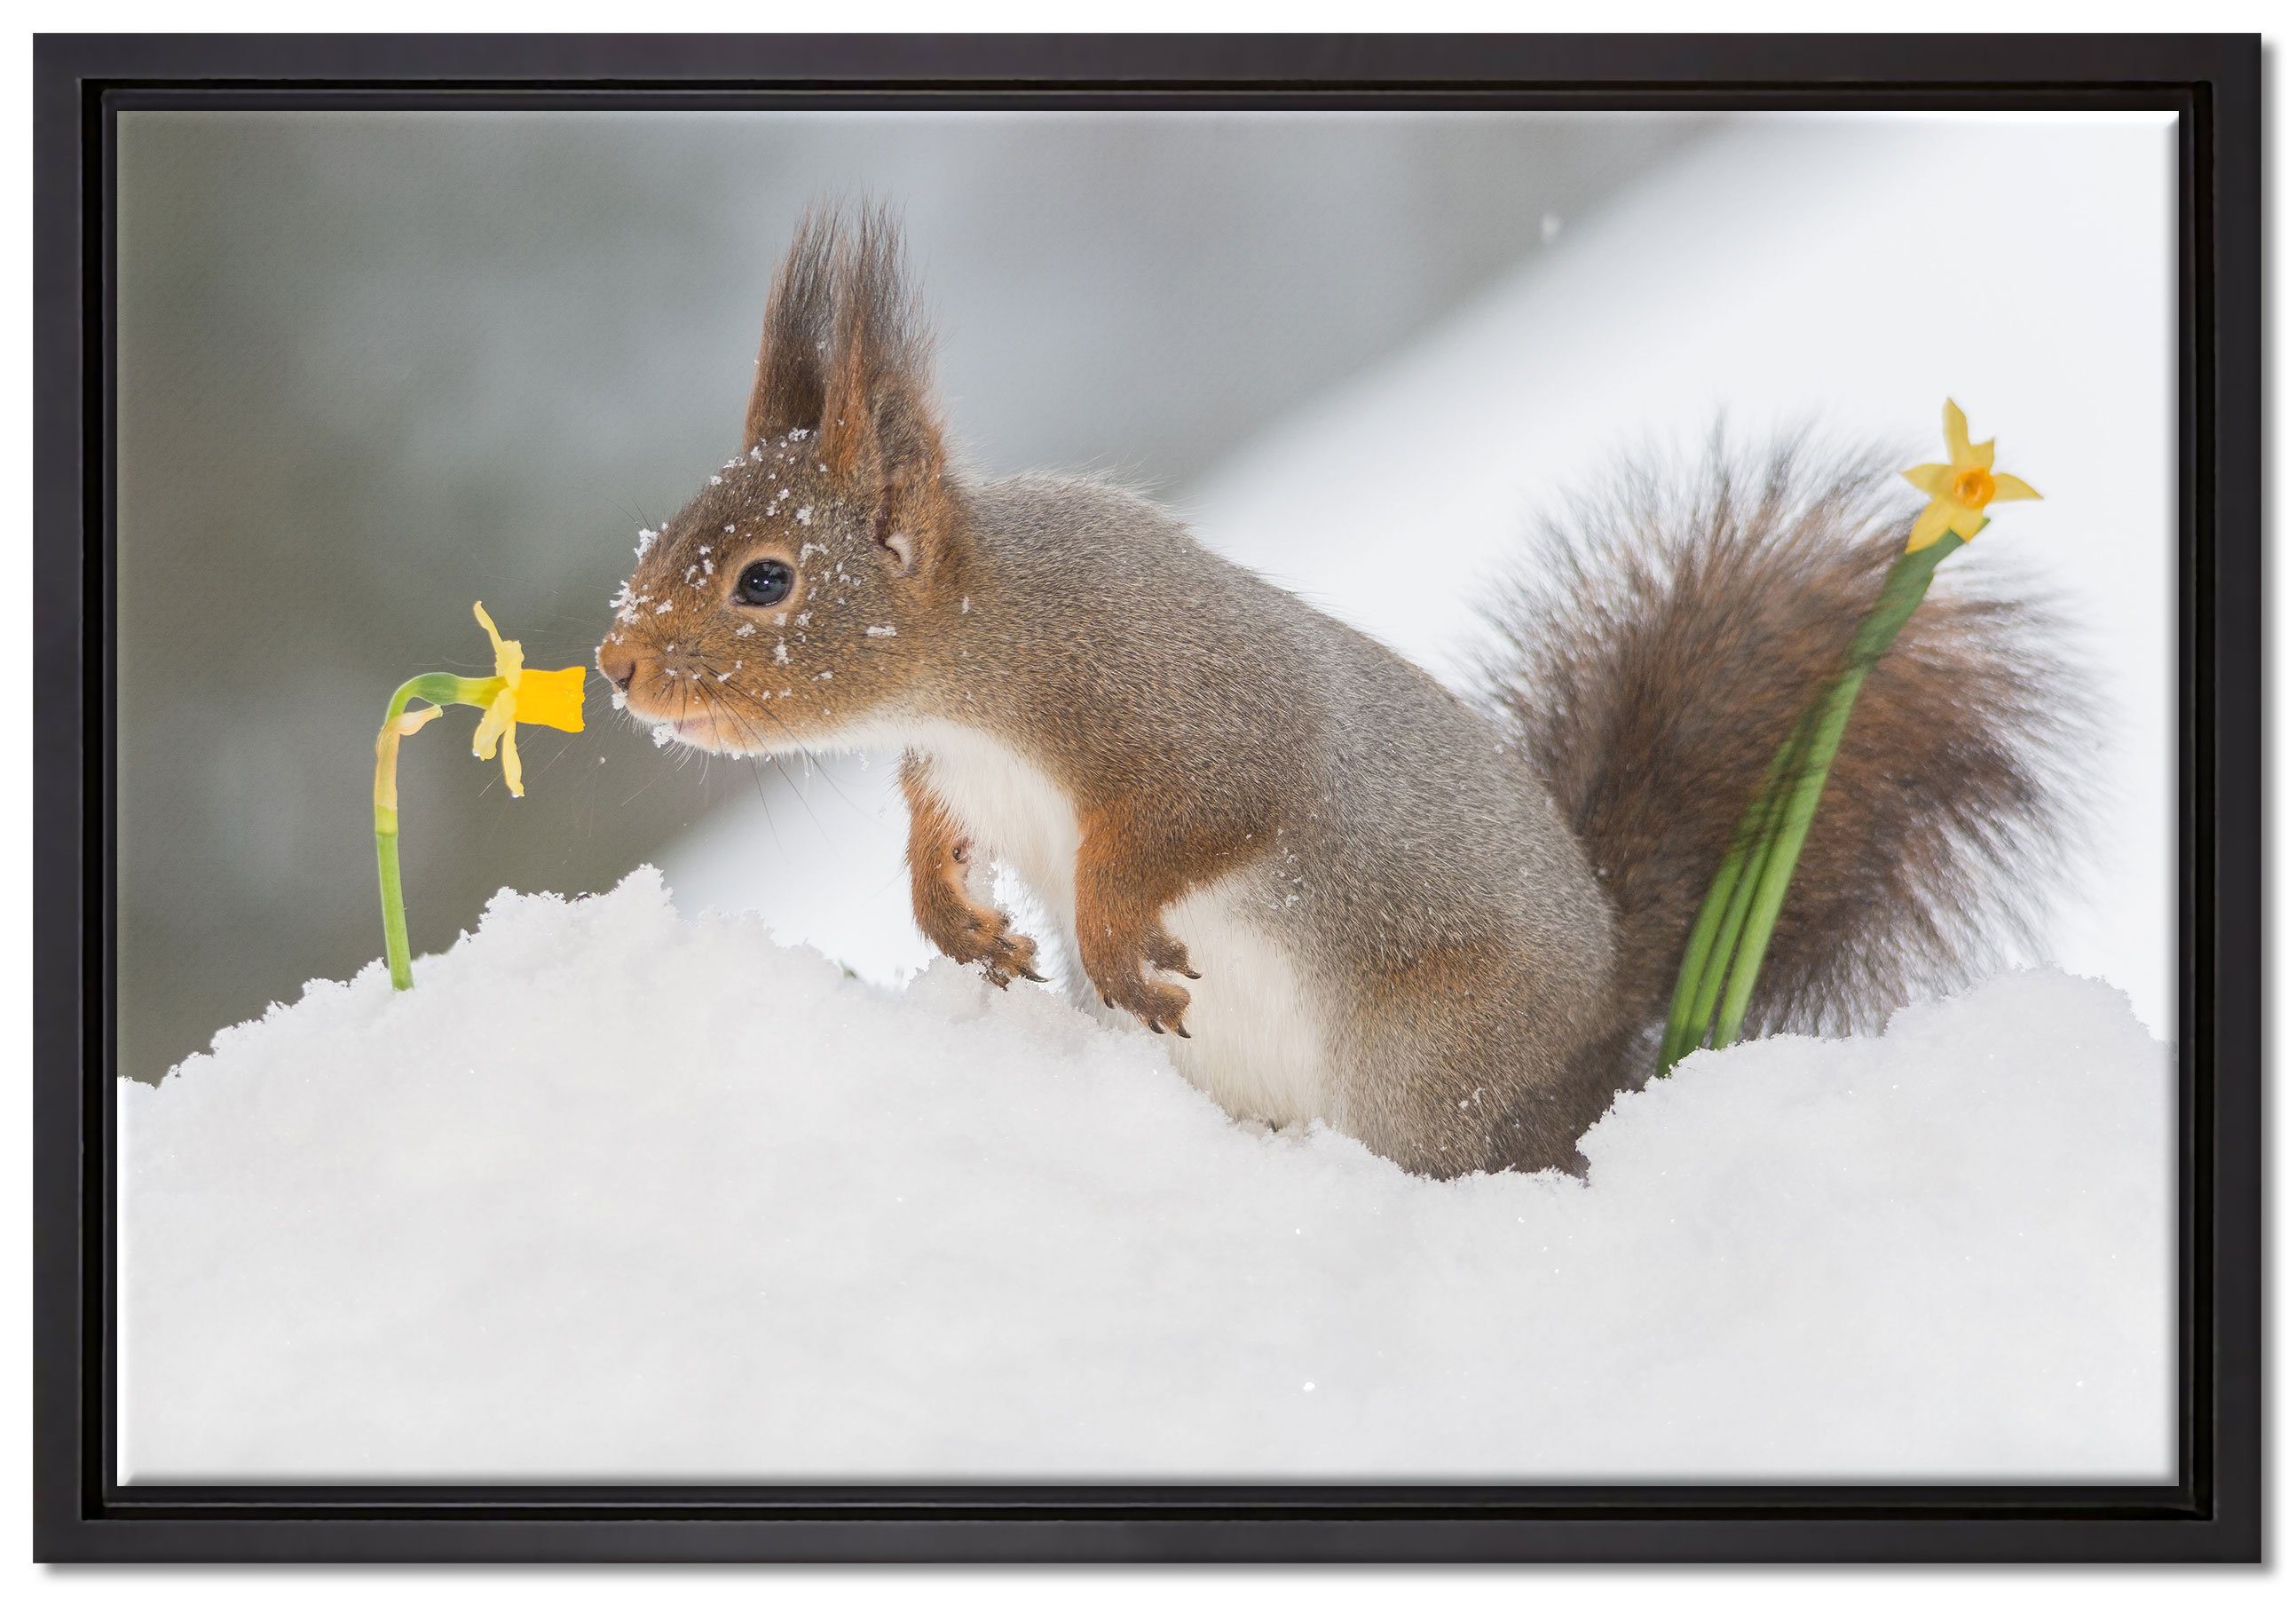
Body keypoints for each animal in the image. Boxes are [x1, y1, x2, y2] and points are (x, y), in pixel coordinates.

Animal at [596, 209, 2084, 1184]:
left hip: (1431, 1067)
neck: (976, 660)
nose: (616, 668)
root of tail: (1603, 1042)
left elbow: (1196, 820)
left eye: (766, 582)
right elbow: (931, 833)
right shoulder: (954, 768)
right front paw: (957, 922)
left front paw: (1111, 936)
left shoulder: (1184, 710)